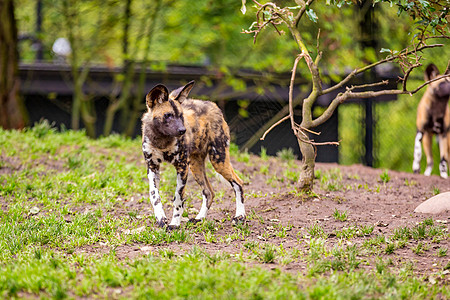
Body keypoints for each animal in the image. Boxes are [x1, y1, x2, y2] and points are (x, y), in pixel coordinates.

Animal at [142, 81, 244, 229]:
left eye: (181, 116)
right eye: (168, 115)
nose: (183, 130)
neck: (162, 141)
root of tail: (213, 105)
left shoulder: (182, 167)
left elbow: (178, 198)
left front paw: (174, 224)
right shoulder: (152, 167)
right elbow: (154, 195)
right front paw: (161, 218)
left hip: (218, 159)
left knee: (238, 183)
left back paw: (240, 216)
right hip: (196, 165)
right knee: (208, 192)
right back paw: (199, 218)